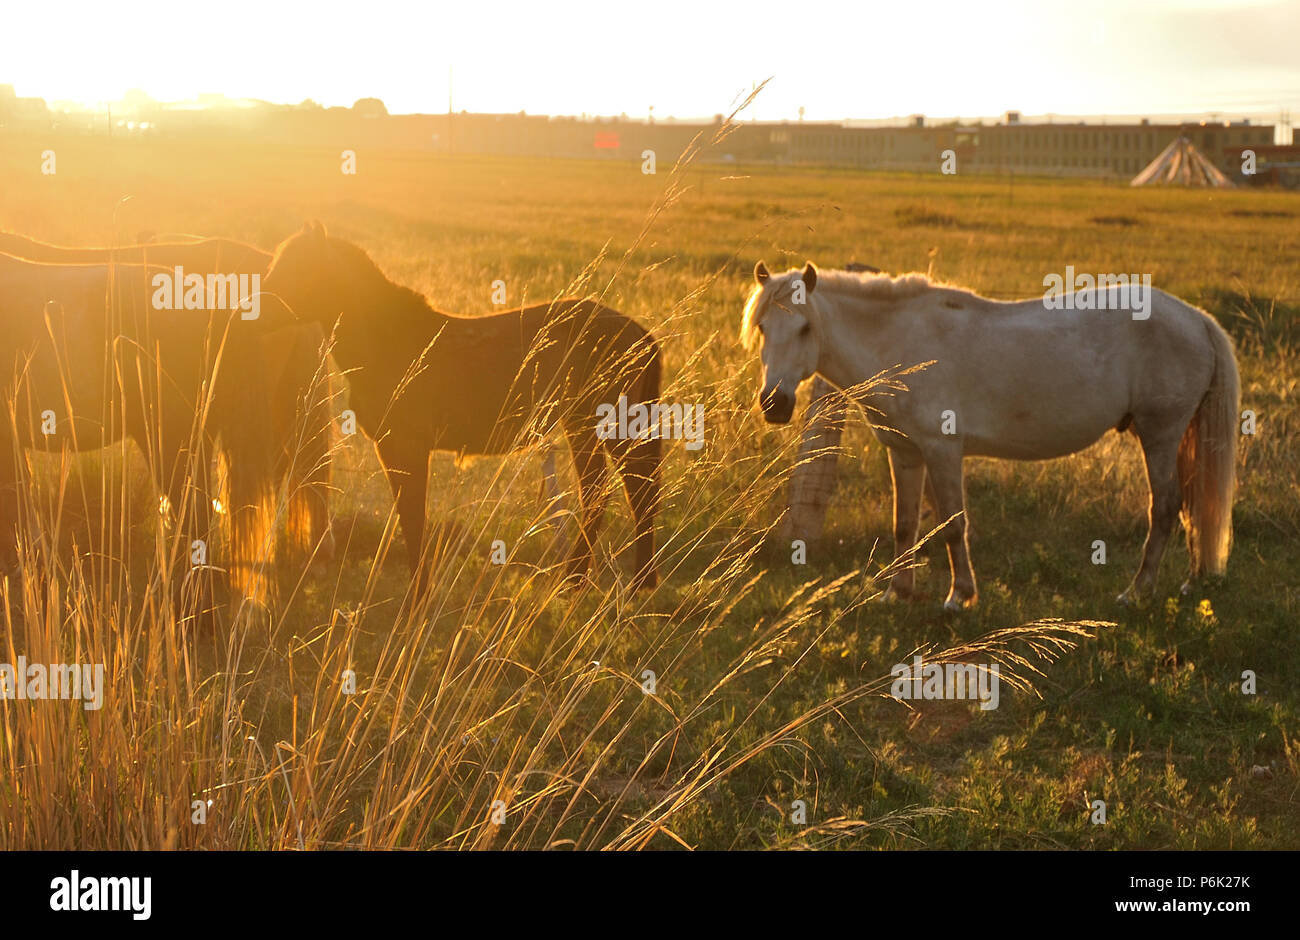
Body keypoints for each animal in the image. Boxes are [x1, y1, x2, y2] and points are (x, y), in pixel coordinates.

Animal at [259, 222, 662, 591]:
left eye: (298, 268)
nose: (255, 309)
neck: (389, 340)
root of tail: (641, 333)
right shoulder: (395, 450)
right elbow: (409, 518)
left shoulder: (408, 448)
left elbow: (414, 520)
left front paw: (418, 596)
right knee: (609, 492)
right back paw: (592, 580)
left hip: (604, 426)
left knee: (626, 492)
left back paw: (619, 581)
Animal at [741, 261, 1239, 611]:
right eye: (762, 327)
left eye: (805, 327)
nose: (775, 404)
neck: (902, 341)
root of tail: (1196, 318)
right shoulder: (906, 453)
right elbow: (905, 525)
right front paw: (898, 592)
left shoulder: (942, 450)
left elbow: (951, 523)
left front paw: (959, 596)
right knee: (1193, 507)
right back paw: (1190, 581)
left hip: (1160, 435)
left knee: (1166, 508)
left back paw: (1137, 592)